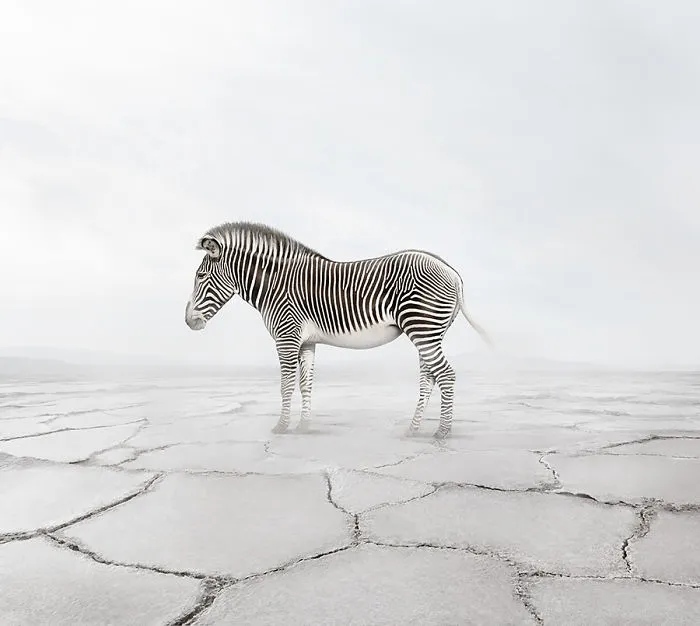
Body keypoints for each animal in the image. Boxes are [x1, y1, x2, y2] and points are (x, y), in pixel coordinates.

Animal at [185, 222, 491, 439]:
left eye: (200, 276)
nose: (189, 321)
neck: (275, 284)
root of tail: (452, 271)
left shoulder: (286, 336)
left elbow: (286, 385)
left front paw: (281, 427)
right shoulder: (306, 342)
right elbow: (305, 384)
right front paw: (304, 426)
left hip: (423, 328)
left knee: (446, 375)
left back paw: (442, 432)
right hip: (429, 332)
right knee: (429, 378)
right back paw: (414, 429)